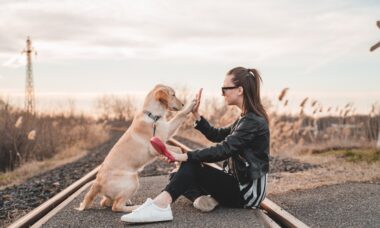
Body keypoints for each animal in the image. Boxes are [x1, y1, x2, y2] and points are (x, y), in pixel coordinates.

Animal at [77, 84, 196, 213]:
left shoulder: (167, 132)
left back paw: (127, 202)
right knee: (116, 207)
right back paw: (137, 207)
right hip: (133, 180)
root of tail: (97, 183)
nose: (183, 104)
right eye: (173, 95)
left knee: (105, 202)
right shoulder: (155, 146)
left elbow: (179, 145)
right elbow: (177, 146)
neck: (153, 116)